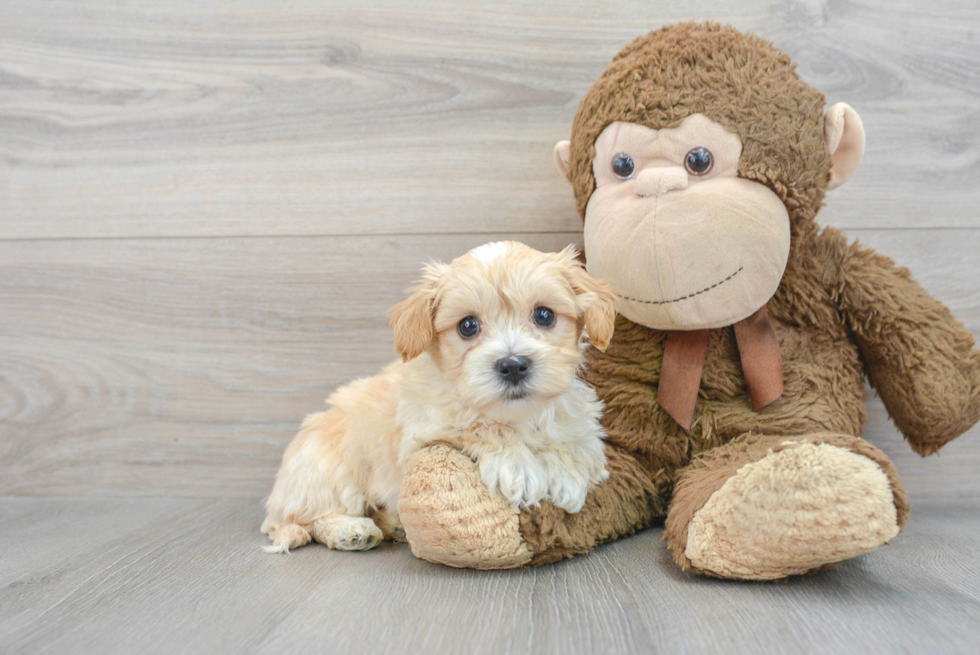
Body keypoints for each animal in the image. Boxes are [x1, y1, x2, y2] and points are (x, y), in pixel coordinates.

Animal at [260, 241, 612, 552]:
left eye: (544, 315)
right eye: (468, 326)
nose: (512, 365)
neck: (517, 414)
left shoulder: (580, 419)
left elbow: (578, 442)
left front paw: (567, 475)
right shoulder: (425, 428)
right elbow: (478, 425)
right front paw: (520, 468)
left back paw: (394, 524)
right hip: (329, 472)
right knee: (307, 519)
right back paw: (351, 530)